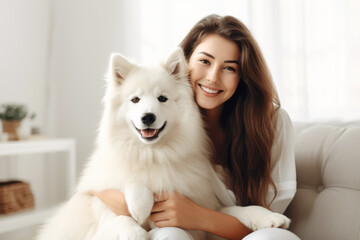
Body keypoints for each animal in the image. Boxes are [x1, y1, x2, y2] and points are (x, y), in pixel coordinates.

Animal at [36, 47, 290, 239]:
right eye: (135, 100)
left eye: (162, 98)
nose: (147, 117)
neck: (154, 155)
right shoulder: (95, 201)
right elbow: (121, 210)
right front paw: (137, 220)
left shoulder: (205, 206)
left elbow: (236, 211)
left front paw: (270, 217)